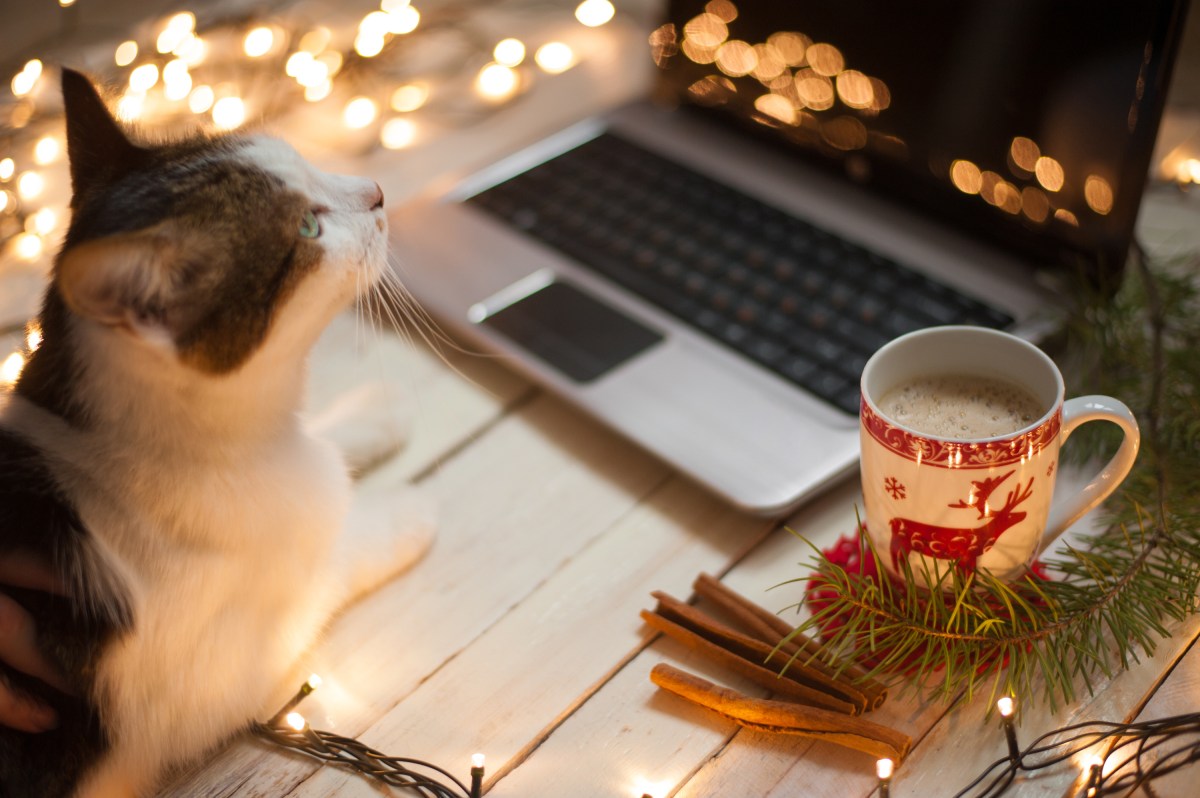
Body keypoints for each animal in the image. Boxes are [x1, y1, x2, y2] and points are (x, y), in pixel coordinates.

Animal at [0, 69, 432, 796]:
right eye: (308, 227)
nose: (375, 191)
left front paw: (373, 412)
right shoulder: (237, 673)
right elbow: (340, 553)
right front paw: (402, 512)